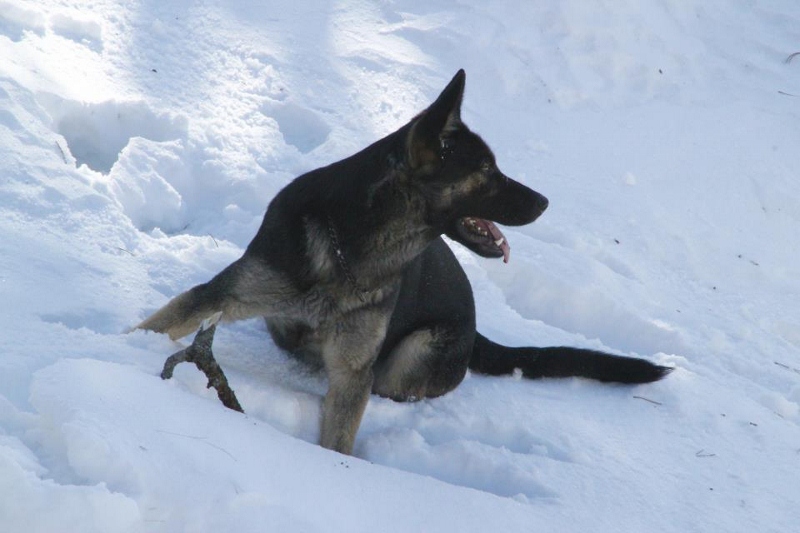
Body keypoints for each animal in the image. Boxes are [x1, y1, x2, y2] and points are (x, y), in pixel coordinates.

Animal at [138, 69, 668, 454]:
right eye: (485, 169)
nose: (544, 203)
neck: (351, 250)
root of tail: (476, 331)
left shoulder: (353, 373)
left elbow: (338, 443)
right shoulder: (223, 294)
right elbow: (160, 323)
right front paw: (124, 354)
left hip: (413, 356)